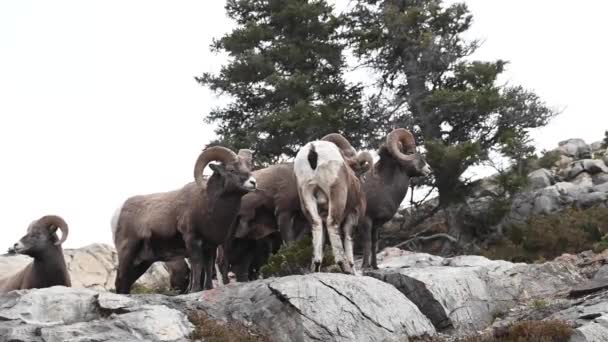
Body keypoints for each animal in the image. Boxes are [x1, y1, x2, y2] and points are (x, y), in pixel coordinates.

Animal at [111, 146, 254, 292]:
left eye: (249, 167)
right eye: (232, 170)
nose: (253, 182)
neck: (207, 205)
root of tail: (119, 211)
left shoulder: (210, 247)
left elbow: (208, 267)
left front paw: (208, 288)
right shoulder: (192, 240)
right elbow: (197, 265)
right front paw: (195, 290)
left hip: (142, 263)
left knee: (126, 282)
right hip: (127, 252)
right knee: (120, 280)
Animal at [292, 135, 368, 274]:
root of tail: (313, 149)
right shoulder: (352, 215)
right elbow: (348, 239)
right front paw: (352, 270)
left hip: (307, 195)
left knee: (316, 224)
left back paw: (316, 267)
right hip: (336, 194)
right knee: (332, 224)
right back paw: (344, 266)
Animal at [360, 129, 432, 270]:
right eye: (410, 153)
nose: (428, 169)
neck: (383, 186)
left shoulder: (376, 224)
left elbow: (374, 243)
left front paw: (375, 266)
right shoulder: (367, 220)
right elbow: (367, 242)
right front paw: (365, 266)